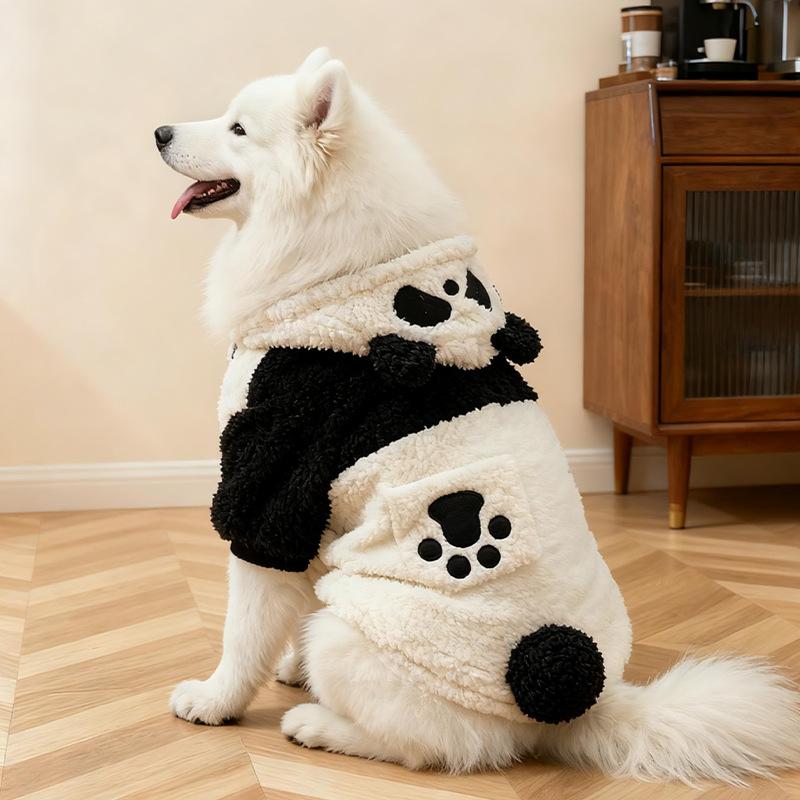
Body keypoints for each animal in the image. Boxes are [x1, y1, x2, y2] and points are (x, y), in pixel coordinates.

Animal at [212, 236, 631, 725]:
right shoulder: (321, 511)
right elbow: (302, 598)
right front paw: (294, 671)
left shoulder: (273, 472)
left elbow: (246, 628)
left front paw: (214, 701)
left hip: (358, 633)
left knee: (425, 735)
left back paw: (317, 725)